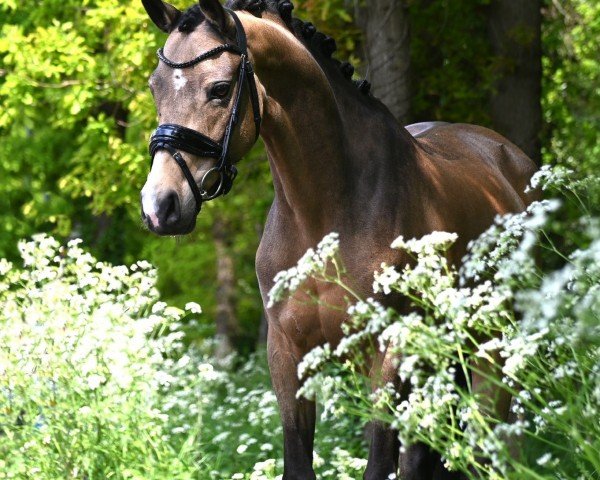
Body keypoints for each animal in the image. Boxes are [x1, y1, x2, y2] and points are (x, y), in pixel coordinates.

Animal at [141, 1, 540, 478]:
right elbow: (298, 462)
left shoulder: (389, 351)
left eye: (219, 89)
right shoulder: (287, 353)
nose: (160, 205)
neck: (325, 212)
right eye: (155, 87)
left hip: (492, 349)